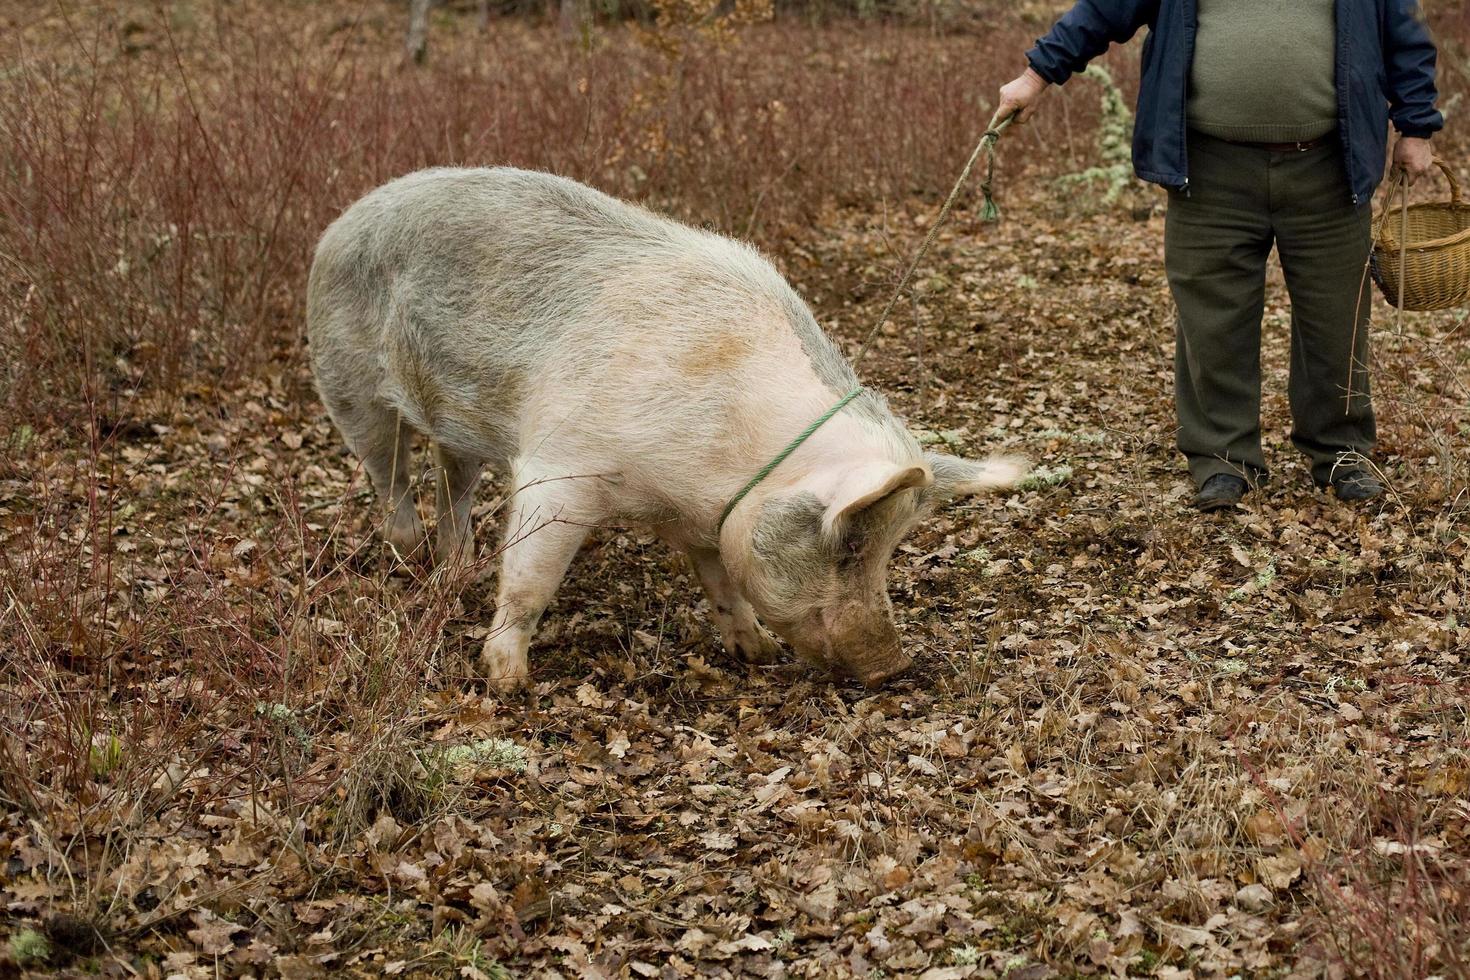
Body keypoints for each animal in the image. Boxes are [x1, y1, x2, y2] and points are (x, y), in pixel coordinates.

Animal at [307, 166, 1023, 690]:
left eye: (889, 547)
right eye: (849, 545)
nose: (895, 666)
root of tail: (345, 218)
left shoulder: (708, 516)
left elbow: (723, 578)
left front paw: (756, 652)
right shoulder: (559, 467)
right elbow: (532, 575)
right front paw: (507, 683)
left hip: (454, 426)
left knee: (449, 481)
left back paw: (456, 570)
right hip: (346, 382)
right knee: (390, 477)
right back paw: (412, 559)